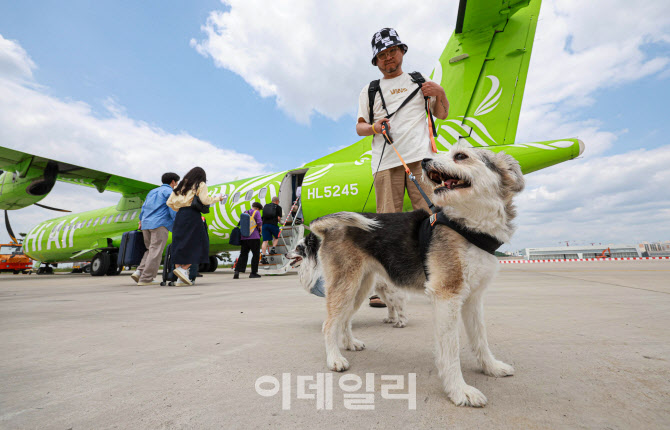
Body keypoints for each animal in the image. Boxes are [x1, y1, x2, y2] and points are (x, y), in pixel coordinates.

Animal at [310, 145, 524, 406]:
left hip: (359, 287)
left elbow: (480, 339)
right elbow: (451, 350)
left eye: (460, 156)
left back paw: (349, 344)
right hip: (345, 286)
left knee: (344, 320)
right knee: (329, 324)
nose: (424, 161)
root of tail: (328, 228)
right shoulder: (447, 296)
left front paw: (491, 367)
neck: (470, 226)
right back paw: (334, 359)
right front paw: (459, 391)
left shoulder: (473, 299)